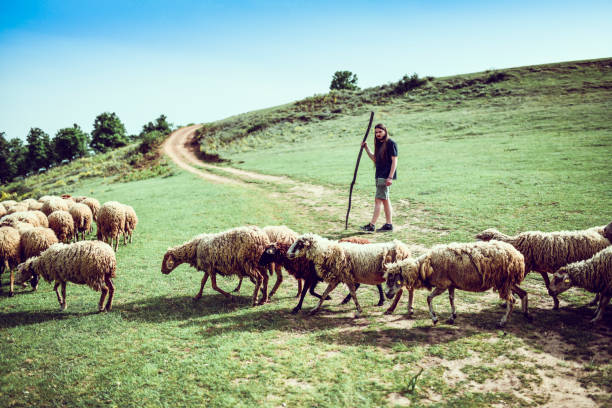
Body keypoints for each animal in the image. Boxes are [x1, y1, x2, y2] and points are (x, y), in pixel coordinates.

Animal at [384, 241, 528, 326]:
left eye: (391, 279)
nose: (386, 294)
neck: (423, 267)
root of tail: (518, 257)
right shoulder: (451, 284)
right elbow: (451, 299)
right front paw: (452, 316)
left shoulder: (442, 284)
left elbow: (429, 298)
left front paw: (434, 318)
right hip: (507, 282)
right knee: (523, 293)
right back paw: (525, 314)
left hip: (503, 282)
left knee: (512, 300)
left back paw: (503, 321)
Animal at [478, 225, 612, 308]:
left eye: (484, 239)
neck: (516, 243)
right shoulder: (540, 268)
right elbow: (547, 284)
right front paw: (555, 302)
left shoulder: (527, 267)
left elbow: (512, 285)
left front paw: (507, 302)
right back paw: (595, 301)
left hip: (597, 267)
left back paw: (595, 301)